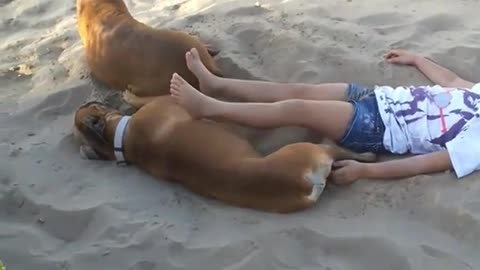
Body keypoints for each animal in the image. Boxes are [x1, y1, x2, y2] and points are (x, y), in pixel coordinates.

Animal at [73, 96, 376, 213]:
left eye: (89, 105)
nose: (86, 99)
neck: (123, 139)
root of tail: (300, 183)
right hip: (315, 150)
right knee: (339, 150)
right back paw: (367, 154)